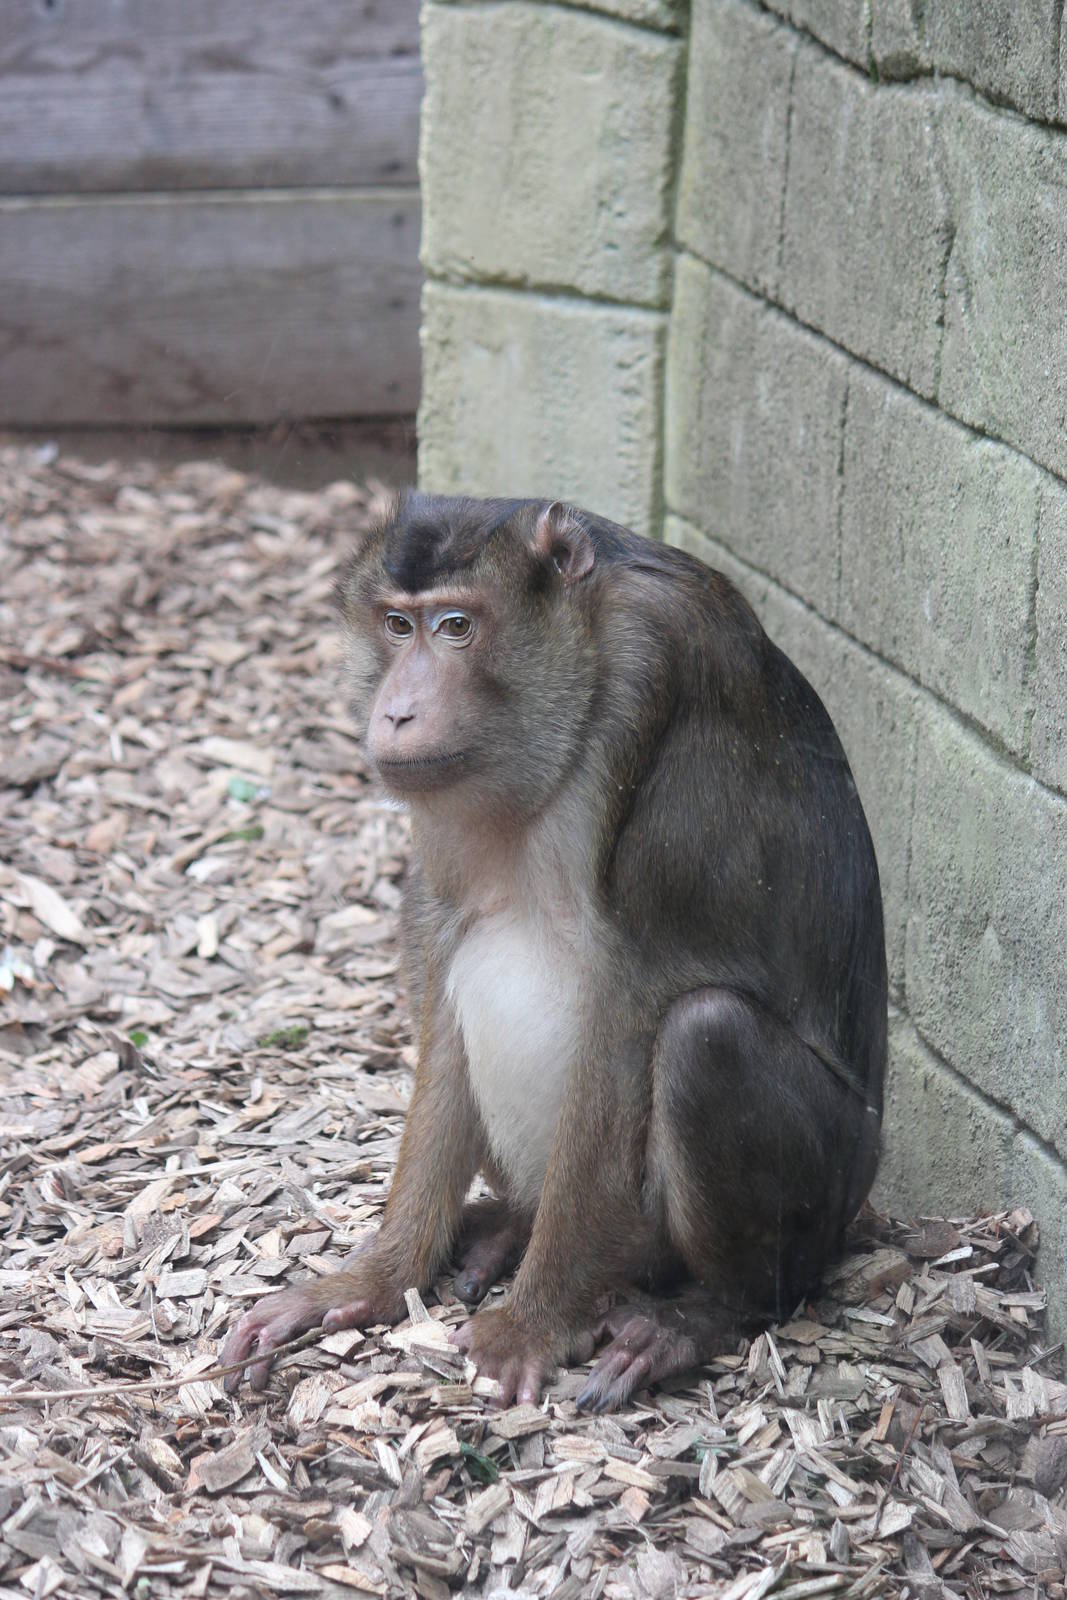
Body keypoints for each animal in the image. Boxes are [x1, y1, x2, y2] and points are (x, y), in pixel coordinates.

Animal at [221, 494, 887, 1411]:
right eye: (397, 625)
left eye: (457, 628)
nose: (396, 712)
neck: (587, 648)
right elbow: (446, 936)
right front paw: (375, 1278)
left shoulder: (659, 668)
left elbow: (633, 996)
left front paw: (530, 1325)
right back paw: (509, 1225)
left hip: (816, 1201)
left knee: (705, 1033)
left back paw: (705, 1310)